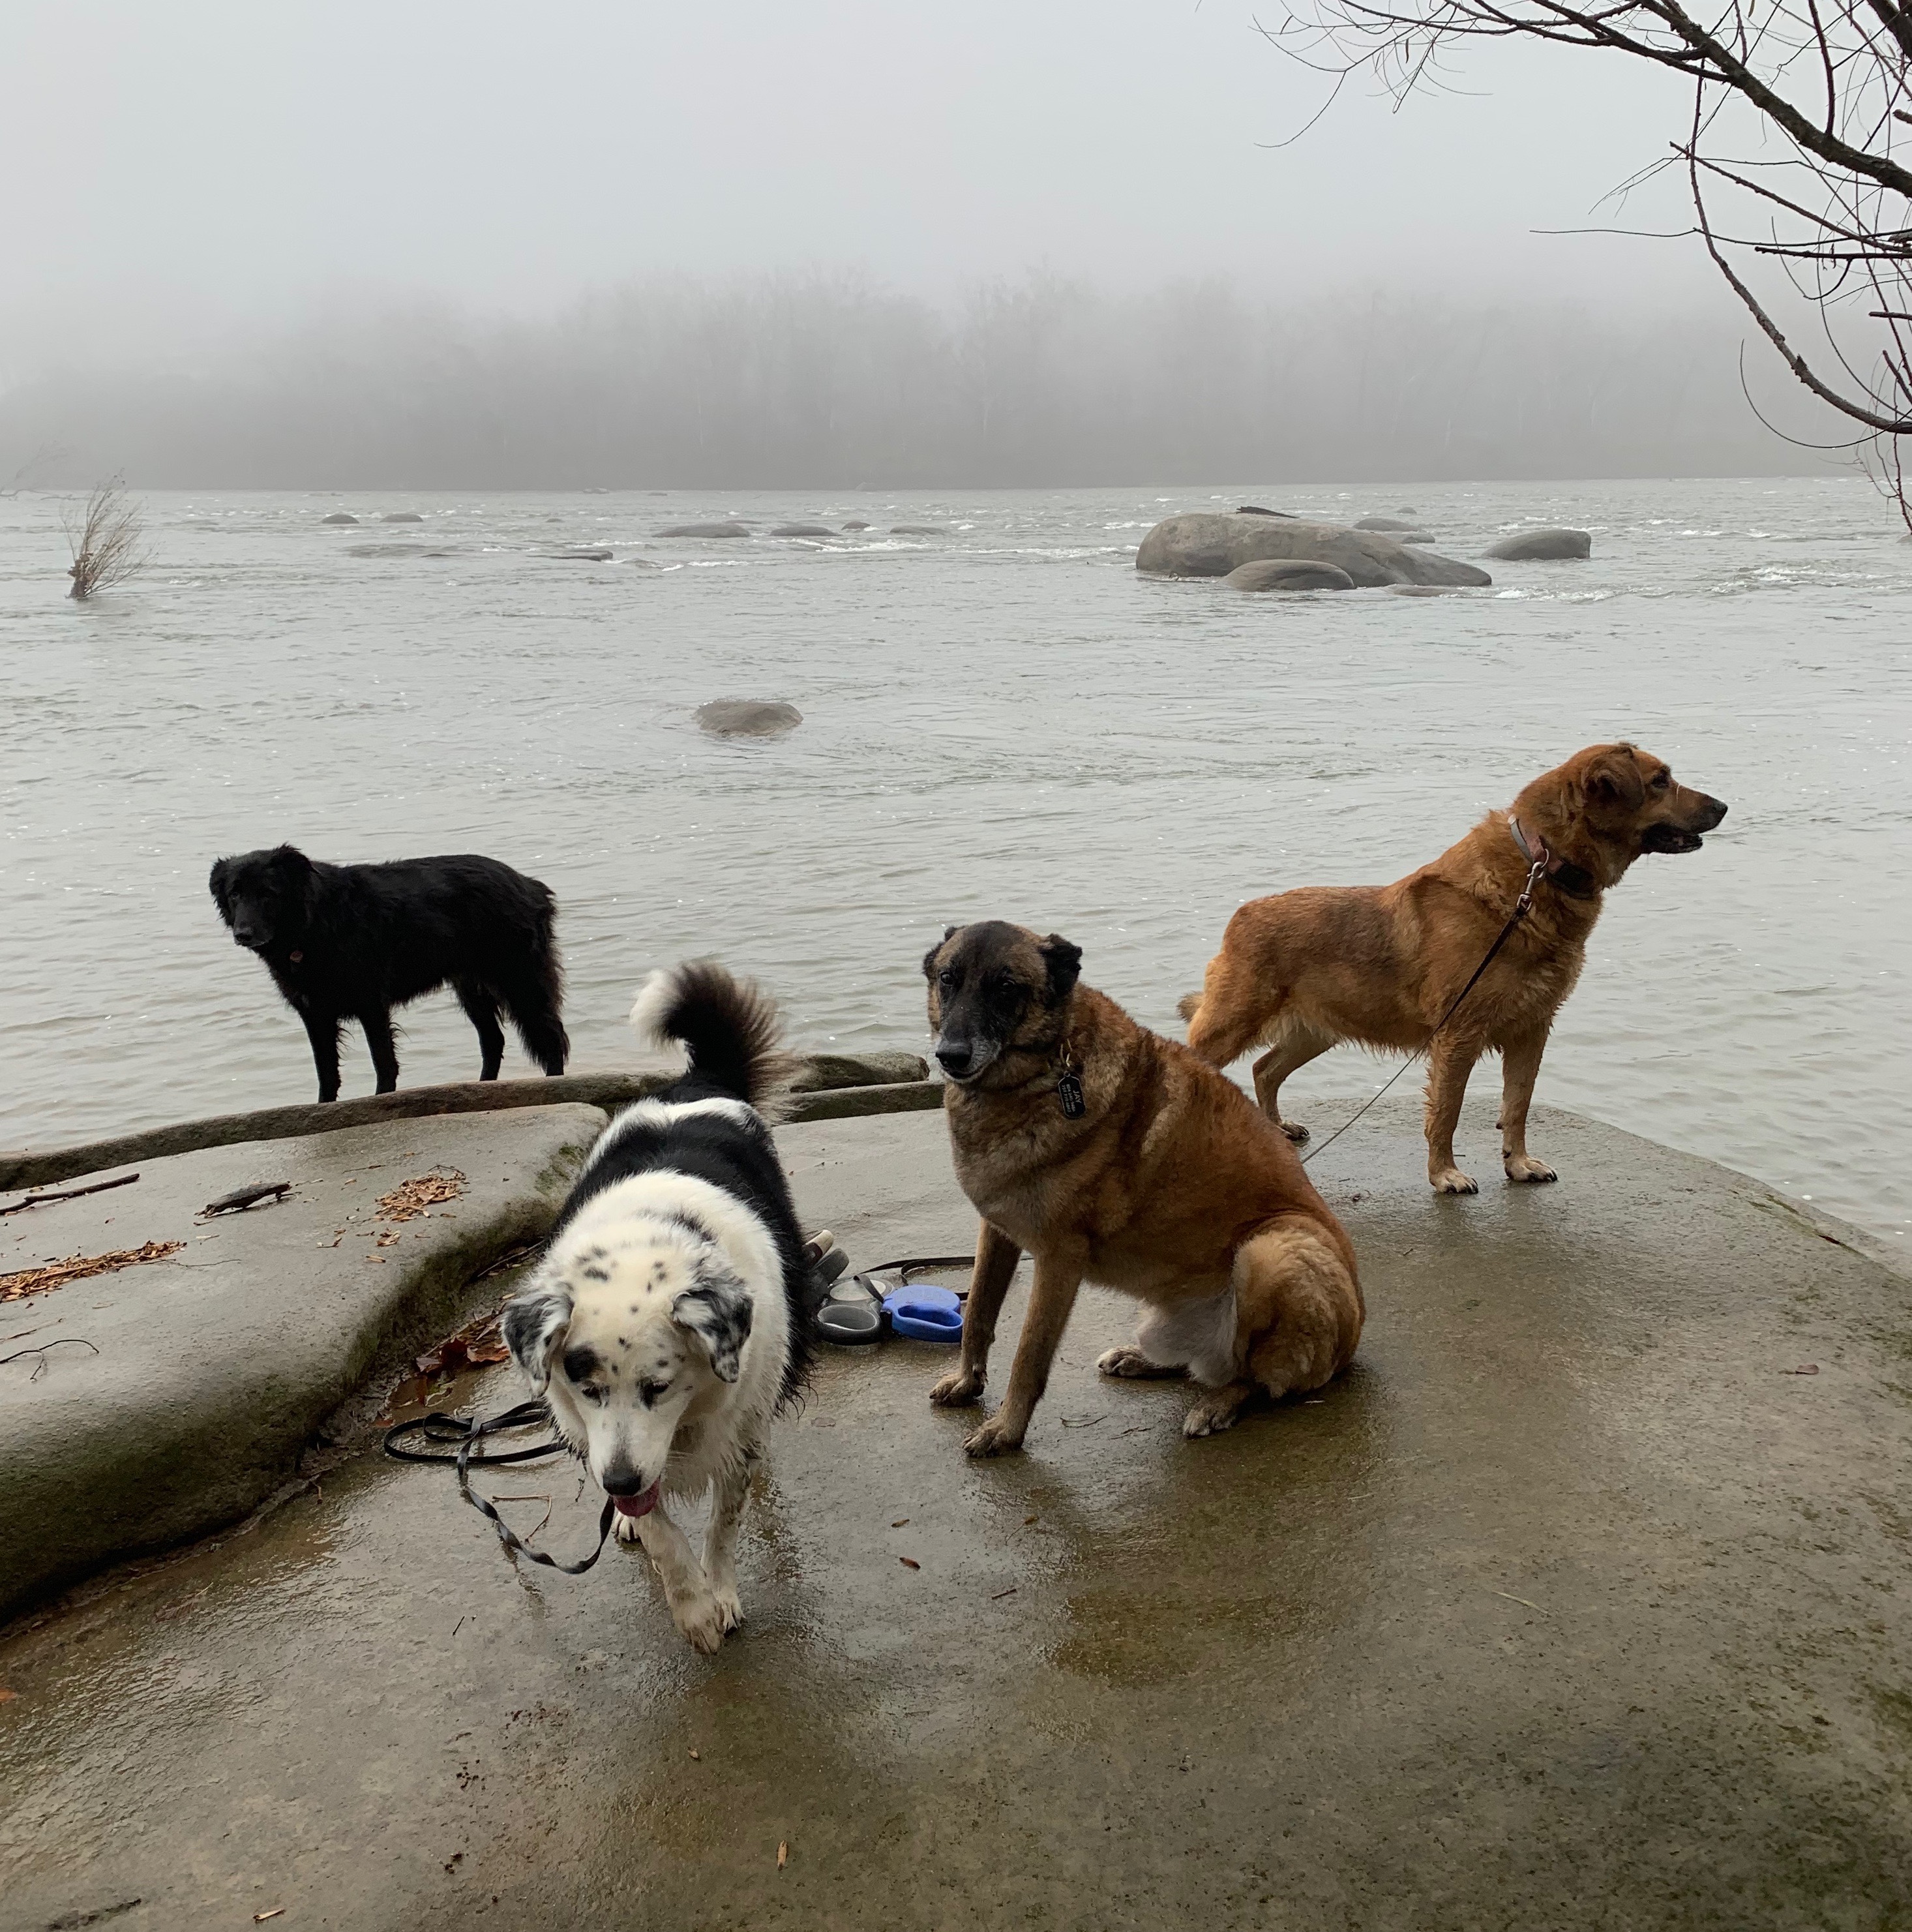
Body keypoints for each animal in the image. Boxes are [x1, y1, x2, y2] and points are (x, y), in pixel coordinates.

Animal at [208, 843, 569, 1102]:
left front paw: (381, 1100)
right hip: (471, 990)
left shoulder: (371, 1004)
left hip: (521, 982)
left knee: (552, 1036)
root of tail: (529, 884)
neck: (313, 923)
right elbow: (326, 1071)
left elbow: (382, 1061)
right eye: (235, 894)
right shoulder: (315, 1013)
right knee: (493, 1040)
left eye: (268, 894)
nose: (243, 934)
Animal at [501, 960, 818, 1652]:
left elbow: (722, 1523)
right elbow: (661, 1531)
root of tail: (697, 1082)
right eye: (586, 1388)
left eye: (659, 1386)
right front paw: (692, 1605)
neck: (646, 1238)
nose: (619, 1483)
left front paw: (718, 1594)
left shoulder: (732, 1424)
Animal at [923, 921, 1363, 1454]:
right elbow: (978, 1316)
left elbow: (1029, 1354)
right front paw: (968, 1382)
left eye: (1006, 988)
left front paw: (1006, 1430)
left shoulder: (1057, 1260)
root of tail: (1352, 1340)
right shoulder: (997, 1234)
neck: (1047, 1074)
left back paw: (1217, 1406)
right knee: (1205, 1365)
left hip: (1274, 1247)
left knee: (1253, 1378)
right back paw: (1141, 1360)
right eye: (949, 979)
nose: (950, 1055)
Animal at [1179, 742, 1728, 1194]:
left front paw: (1518, 1163)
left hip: (1316, 1030)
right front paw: (1444, 1173)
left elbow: (1518, 1104)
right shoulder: (1459, 1034)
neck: (1538, 873)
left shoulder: (1533, 1027)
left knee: (1265, 1069)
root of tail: (1242, 917)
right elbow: (1447, 1111)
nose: (1723, 806)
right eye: (1661, 780)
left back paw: (1274, 1129)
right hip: (1236, 1021)